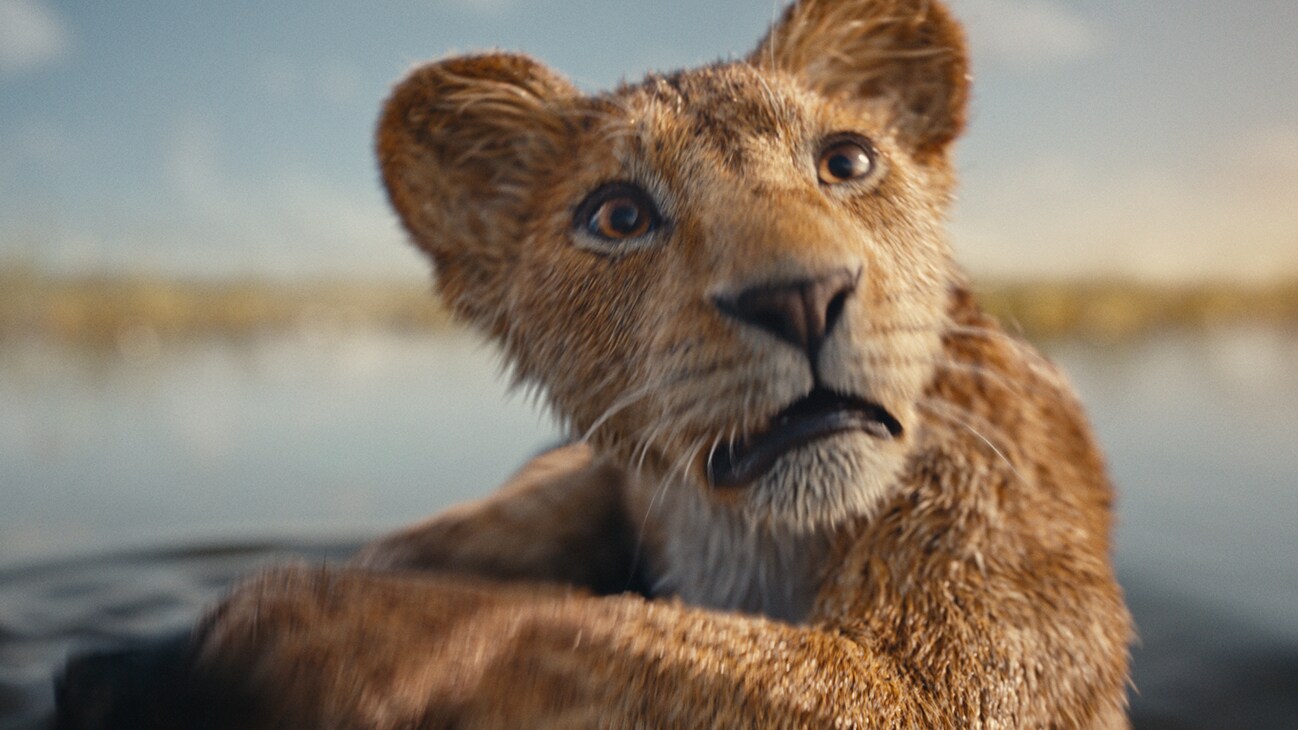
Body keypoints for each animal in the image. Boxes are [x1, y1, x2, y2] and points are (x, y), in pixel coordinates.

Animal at [56, 0, 1132, 726]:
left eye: (847, 161)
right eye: (618, 215)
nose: (800, 296)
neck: (747, 535)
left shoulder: (957, 668)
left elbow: (576, 629)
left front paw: (295, 630)